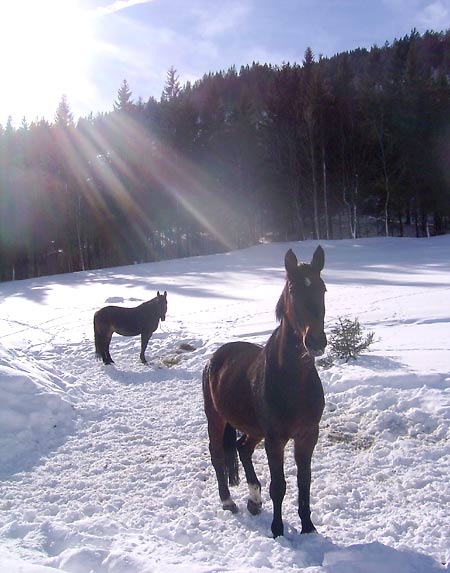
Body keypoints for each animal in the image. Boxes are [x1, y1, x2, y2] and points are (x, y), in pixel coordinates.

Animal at [204, 246, 326, 536]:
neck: (293, 382)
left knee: (242, 448)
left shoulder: (308, 435)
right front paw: (278, 530)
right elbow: (279, 486)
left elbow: (304, 482)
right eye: (292, 290)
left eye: (323, 288)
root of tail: (213, 360)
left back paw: (254, 500)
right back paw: (228, 501)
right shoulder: (275, 439)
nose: (316, 341)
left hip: (254, 429)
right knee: (217, 453)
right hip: (216, 418)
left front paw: (308, 527)